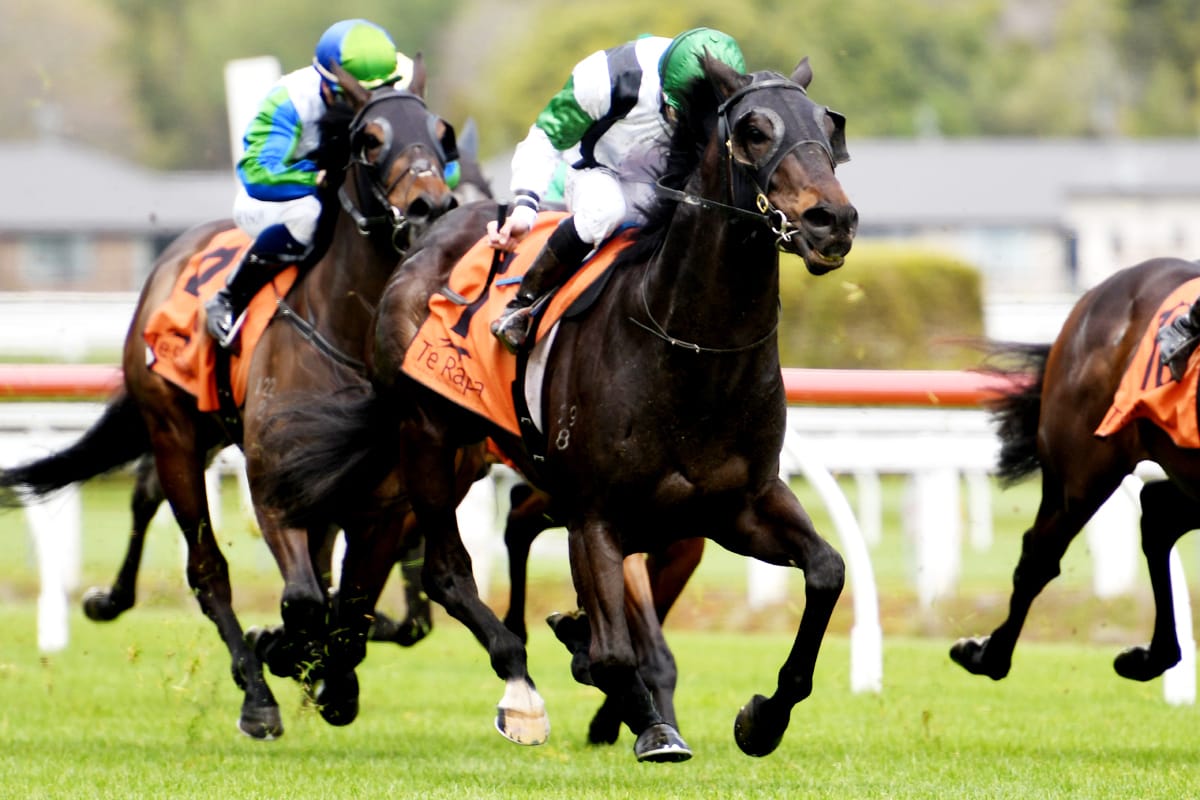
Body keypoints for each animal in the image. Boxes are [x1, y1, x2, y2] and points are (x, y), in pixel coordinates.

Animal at [0, 58, 459, 739]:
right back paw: (253, 691)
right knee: (205, 566)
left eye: (441, 134)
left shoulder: (381, 502)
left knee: (153, 494)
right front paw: (284, 653)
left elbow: (348, 609)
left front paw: (329, 676)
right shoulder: (273, 488)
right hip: (175, 432)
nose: (432, 205)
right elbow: (304, 601)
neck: (345, 329)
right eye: (369, 140)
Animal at [259, 54, 858, 761]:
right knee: (447, 572)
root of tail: (429, 237)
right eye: (754, 130)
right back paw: (516, 691)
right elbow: (614, 654)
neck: (692, 351)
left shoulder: (737, 506)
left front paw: (764, 717)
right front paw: (650, 724)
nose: (831, 219)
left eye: (828, 125)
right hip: (427, 437)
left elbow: (827, 571)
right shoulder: (596, 516)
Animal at [951, 256, 1200, 685]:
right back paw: (988, 655)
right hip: (1080, 472)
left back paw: (1149, 657)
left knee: (1158, 512)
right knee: (1039, 555)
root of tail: (1095, 293)